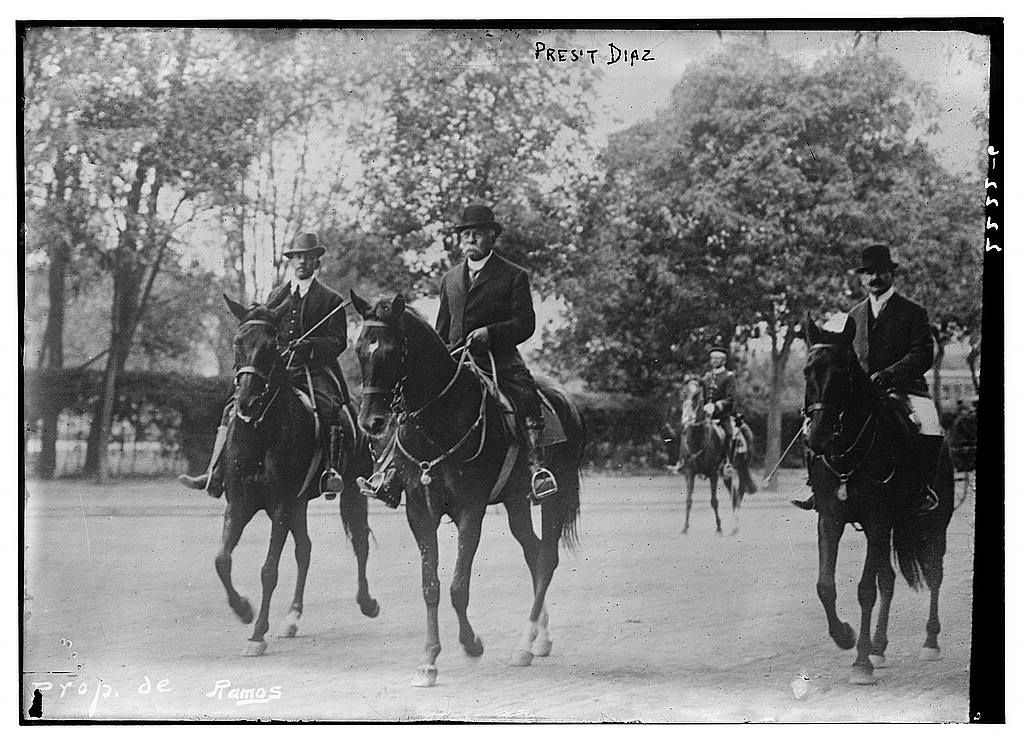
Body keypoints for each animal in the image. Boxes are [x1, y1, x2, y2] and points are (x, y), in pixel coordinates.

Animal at [214, 294, 378, 654]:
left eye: (272, 344)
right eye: (237, 341)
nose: (247, 402)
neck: (260, 433)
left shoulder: (279, 506)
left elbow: (269, 570)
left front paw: (257, 634)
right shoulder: (240, 504)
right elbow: (222, 560)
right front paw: (243, 610)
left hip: (349, 492)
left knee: (360, 543)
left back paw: (367, 602)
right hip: (299, 503)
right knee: (304, 550)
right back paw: (292, 617)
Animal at [348, 290, 585, 687]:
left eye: (394, 351)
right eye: (360, 349)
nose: (371, 422)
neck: (440, 416)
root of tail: (566, 400)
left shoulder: (470, 511)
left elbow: (459, 587)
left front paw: (471, 644)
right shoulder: (420, 511)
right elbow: (430, 586)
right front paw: (428, 660)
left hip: (553, 498)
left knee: (546, 558)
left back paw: (524, 645)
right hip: (516, 503)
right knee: (534, 553)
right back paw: (539, 639)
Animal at [675, 380, 741, 532]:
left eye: (696, 396)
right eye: (683, 394)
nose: (685, 421)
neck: (698, 438)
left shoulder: (713, 473)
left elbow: (714, 501)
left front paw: (719, 528)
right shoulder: (689, 473)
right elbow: (688, 500)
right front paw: (685, 528)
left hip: (727, 473)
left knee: (734, 495)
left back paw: (735, 526)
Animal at [802, 317, 954, 683]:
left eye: (842, 375)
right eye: (806, 371)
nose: (817, 437)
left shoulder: (877, 519)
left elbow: (865, 590)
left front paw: (860, 664)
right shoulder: (830, 519)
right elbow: (825, 585)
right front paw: (846, 637)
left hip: (933, 524)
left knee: (934, 574)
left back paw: (929, 642)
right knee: (888, 579)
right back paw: (879, 646)